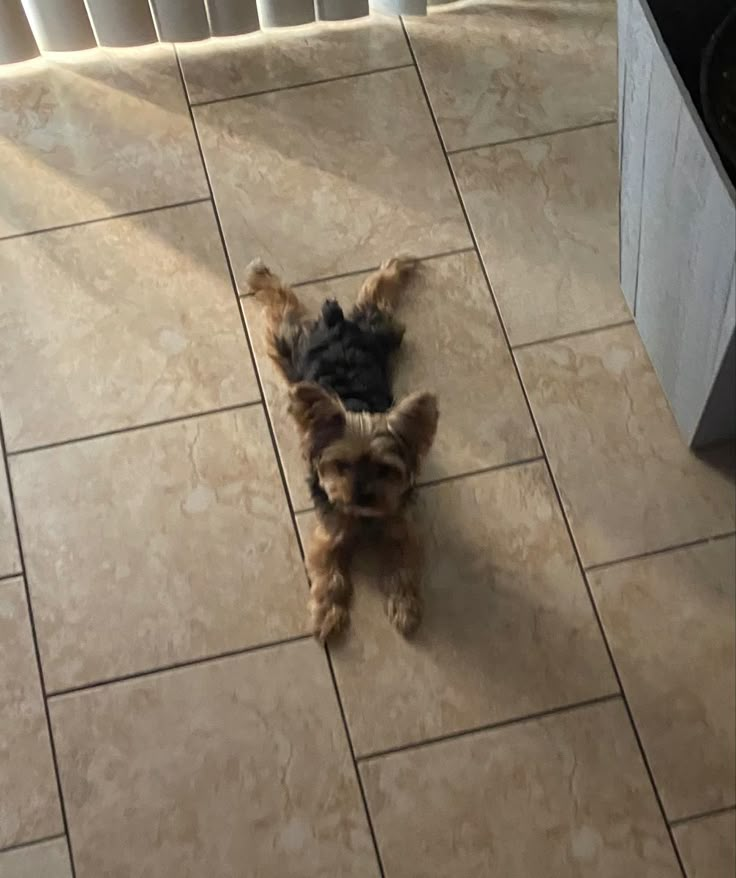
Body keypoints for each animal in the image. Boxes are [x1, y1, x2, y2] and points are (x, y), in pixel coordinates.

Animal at [250, 258, 436, 644]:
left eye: (385, 470)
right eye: (341, 466)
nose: (361, 495)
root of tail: (336, 323)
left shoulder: (398, 522)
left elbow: (404, 565)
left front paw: (405, 608)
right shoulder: (331, 528)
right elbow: (329, 573)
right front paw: (327, 616)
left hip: (380, 335)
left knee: (375, 299)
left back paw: (398, 266)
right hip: (291, 347)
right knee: (284, 309)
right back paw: (259, 276)